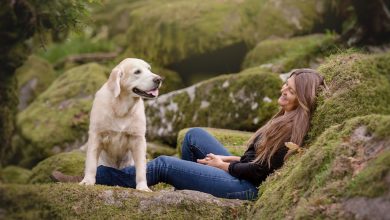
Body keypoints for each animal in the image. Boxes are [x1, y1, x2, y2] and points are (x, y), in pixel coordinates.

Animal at [80, 57, 162, 192]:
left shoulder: (138, 139)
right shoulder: (96, 135)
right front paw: (87, 181)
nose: (159, 79)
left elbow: (141, 168)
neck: (121, 107)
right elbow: (91, 163)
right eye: (137, 72)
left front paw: (142, 187)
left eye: (149, 69)